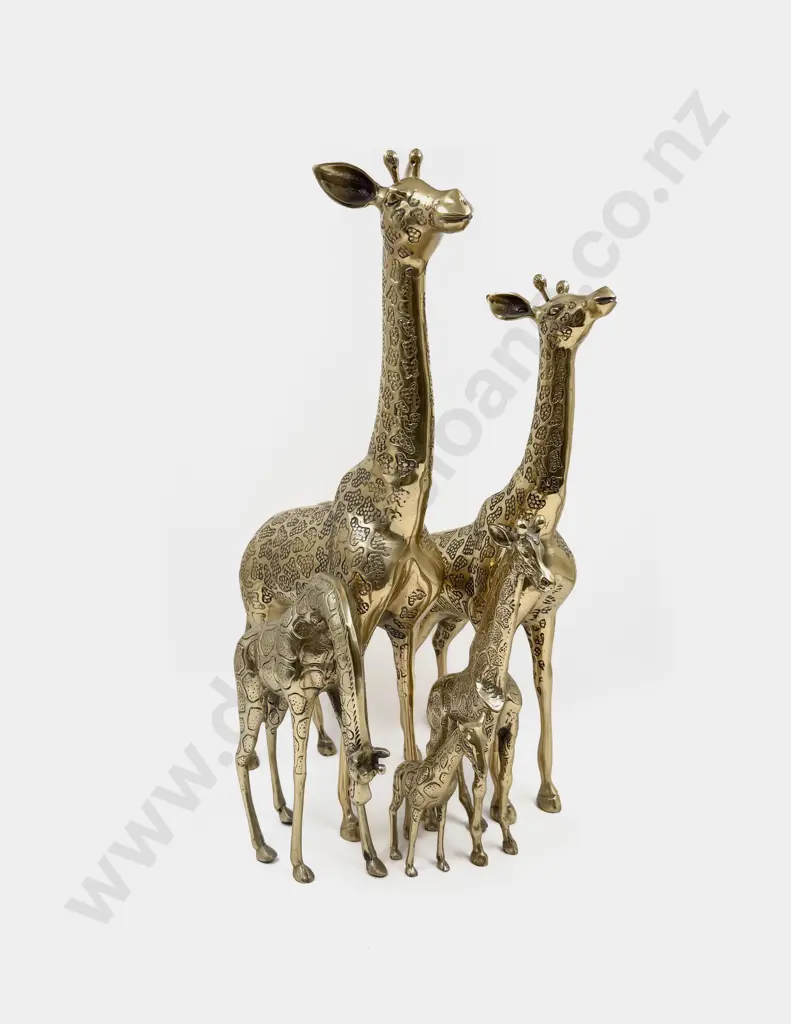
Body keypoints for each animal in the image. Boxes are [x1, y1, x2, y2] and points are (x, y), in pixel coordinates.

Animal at [234, 574, 389, 882]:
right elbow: (301, 773)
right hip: (251, 698)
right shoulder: (300, 700)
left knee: (270, 731)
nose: (362, 798)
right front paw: (299, 865)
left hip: (274, 700)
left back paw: (283, 811)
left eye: (370, 779)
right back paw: (262, 847)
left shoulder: (334, 691)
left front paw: (373, 859)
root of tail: (238, 645)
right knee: (240, 757)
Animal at [238, 149, 473, 841]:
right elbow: (359, 698)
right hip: (257, 614)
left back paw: (315, 749)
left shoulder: (401, 616)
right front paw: (348, 822)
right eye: (396, 198)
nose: (455, 202)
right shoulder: (358, 611)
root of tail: (246, 546)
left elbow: (398, 694)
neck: (401, 500)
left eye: (430, 181)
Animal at [411, 276, 617, 815]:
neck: (540, 517)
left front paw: (547, 793)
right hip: (423, 617)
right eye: (557, 309)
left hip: (450, 616)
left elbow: (544, 688)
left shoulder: (545, 613)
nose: (605, 297)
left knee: (439, 645)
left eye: (581, 295)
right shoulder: (496, 612)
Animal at [423, 517, 553, 858]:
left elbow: (505, 780)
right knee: (430, 750)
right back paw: (433, 818)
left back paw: (465, 813)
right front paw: (478, 849)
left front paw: (507, 837)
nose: (547, 580)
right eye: (523, 551)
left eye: (541, 549)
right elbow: (482, 783)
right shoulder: (485, 729)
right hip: (438, 724)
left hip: (455, 728)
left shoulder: (510, 725)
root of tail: (434, 687)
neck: (494, 673)